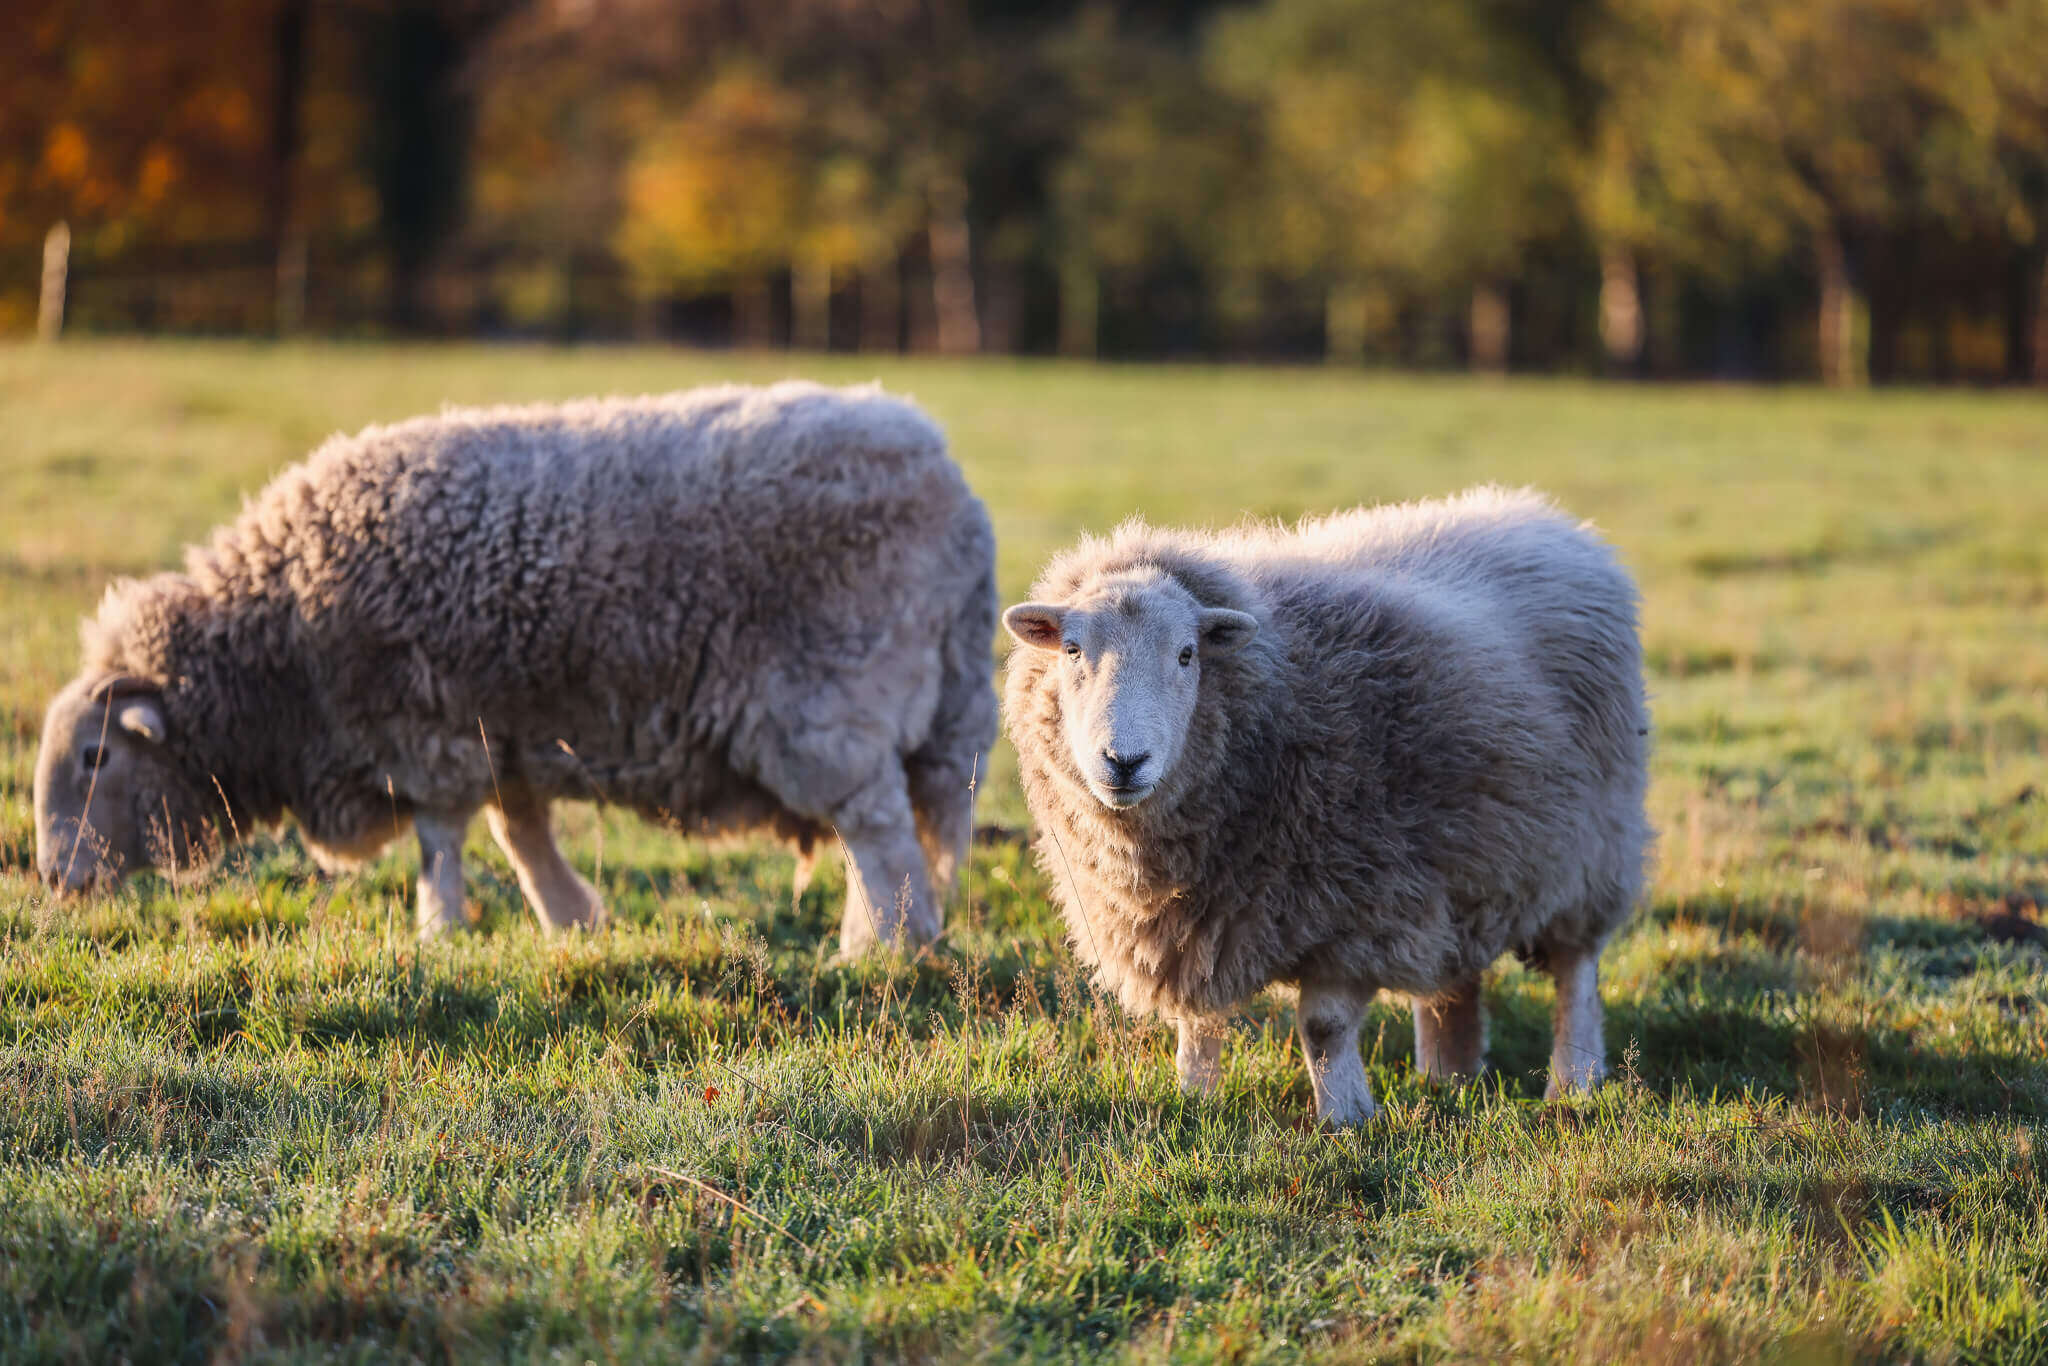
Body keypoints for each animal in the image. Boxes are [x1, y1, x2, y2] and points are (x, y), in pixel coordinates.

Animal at [34, 381, 997, 953]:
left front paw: (438, 931)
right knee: (887, 829)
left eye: (95, 757)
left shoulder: (422, 730)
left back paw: (884, 948)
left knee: (877, 831)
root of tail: (952, 484)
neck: (280, 650)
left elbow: (441, 838)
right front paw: (570, 921)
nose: (51, 879)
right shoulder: (504, 729)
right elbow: (519, 830)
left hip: (828, 703)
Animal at [1001, 486, 1651, 1125]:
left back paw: (1574, 1082)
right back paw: (1449, 1076)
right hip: (1465, 855)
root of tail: (1546, 516)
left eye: (1187, 654)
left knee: (1576, 972)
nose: (1123, 761)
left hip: (1590, 849)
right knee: (1455, 974)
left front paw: (1344, 1119)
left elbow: (1323, 1026)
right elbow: (1196, 1026)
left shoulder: (1354, 904)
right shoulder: (1192, 927)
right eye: (1072, 649)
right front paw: (1194, 1101)